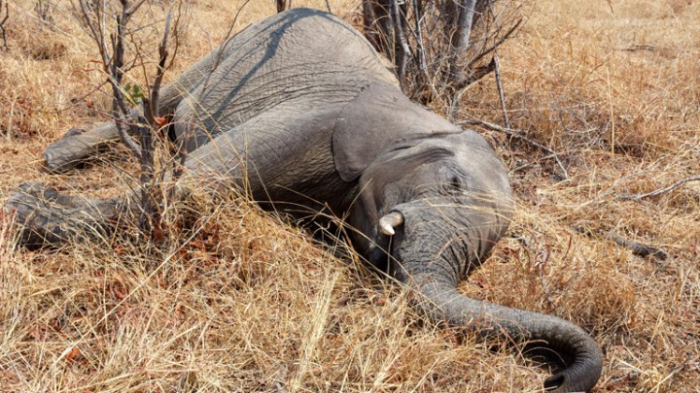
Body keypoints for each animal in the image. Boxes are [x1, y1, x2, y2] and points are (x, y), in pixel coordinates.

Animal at [4, 6, 600, 392]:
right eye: (452, 183)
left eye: (485, 254)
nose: (552, 377)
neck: (419, 119)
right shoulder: (316, 122)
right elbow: (192, 186)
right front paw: (21, 208)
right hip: (235, 46)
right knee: (160, 102)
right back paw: (58, 159)